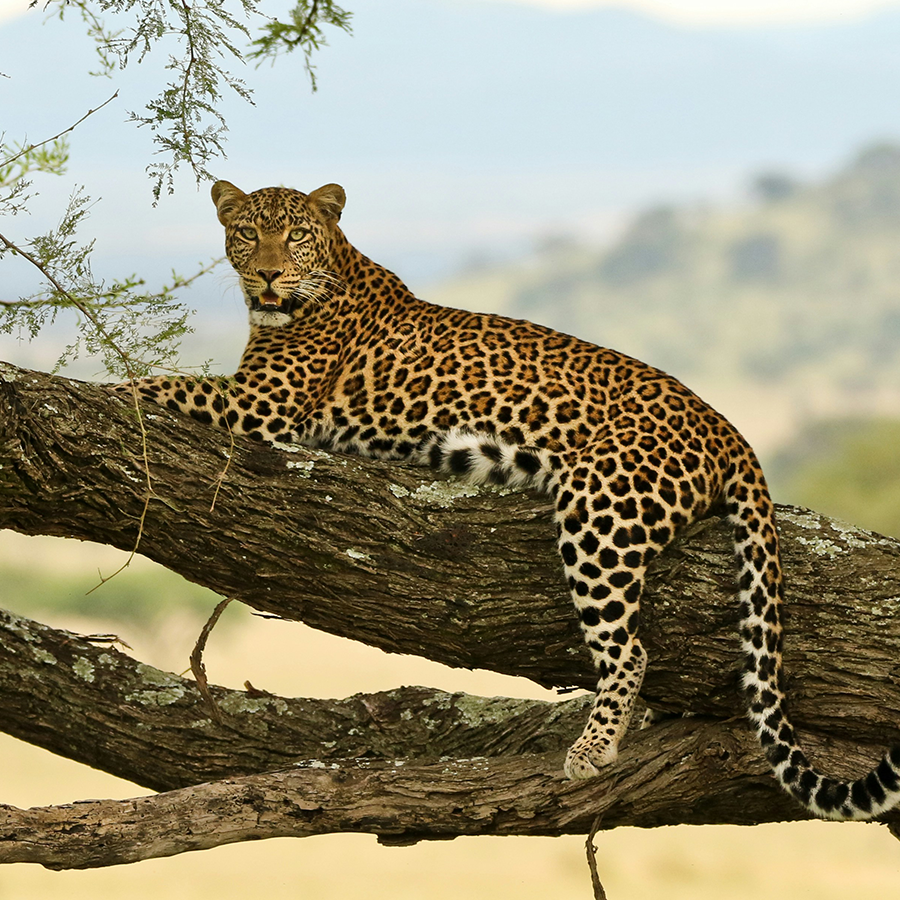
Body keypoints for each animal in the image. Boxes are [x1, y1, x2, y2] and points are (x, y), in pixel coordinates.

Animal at [114, 179, 900, 820]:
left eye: (296, 234)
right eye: (247, 233)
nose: (268, 272)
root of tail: (728, 429)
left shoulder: (263, 408)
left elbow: (155, 384)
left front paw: (94, 390)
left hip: (600, 507)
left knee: (630, 650)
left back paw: (591, 749)